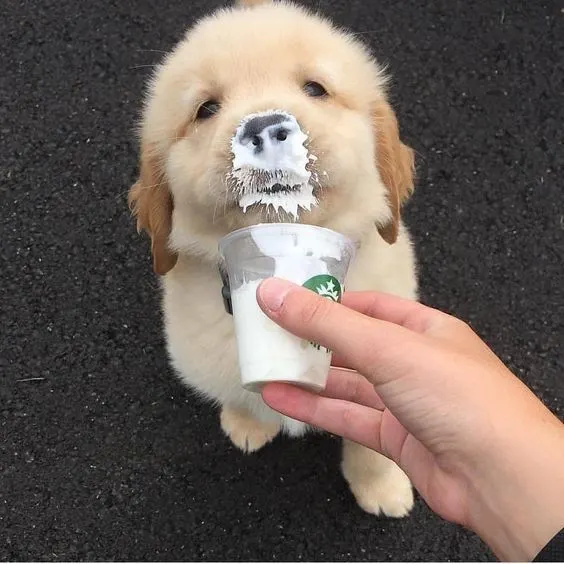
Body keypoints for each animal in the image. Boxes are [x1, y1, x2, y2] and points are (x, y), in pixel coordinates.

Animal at [130, 0, 416, 516]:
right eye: (206, 109)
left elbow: (372, 440)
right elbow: (242, 390)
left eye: (315, 88)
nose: (263, 128)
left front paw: (381, 485)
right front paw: (248, 422)